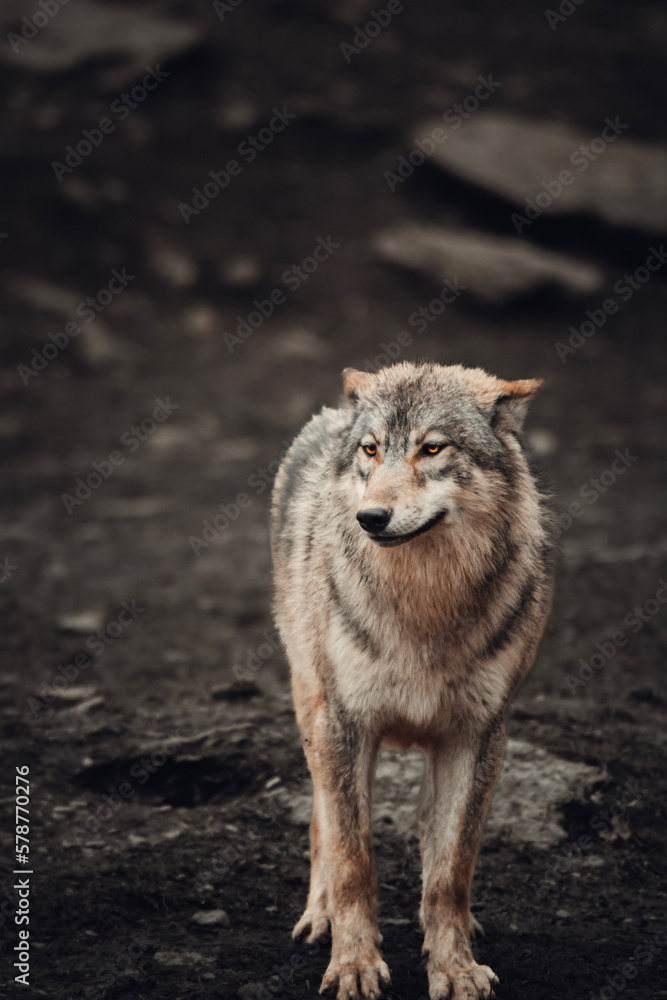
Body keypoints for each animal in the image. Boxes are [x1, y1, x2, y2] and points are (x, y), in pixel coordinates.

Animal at [271, 362, 554, 1000]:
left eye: (432, 448)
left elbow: (451, 870)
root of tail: (332, 413)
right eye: (372, 450)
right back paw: (320, 917)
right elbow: (353, 860)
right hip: (313, 713)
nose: (370, 518)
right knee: (323, 823)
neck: (423, 609)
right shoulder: (345, 725)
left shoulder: (477, 734)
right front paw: (353, 965)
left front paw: (455, 967)